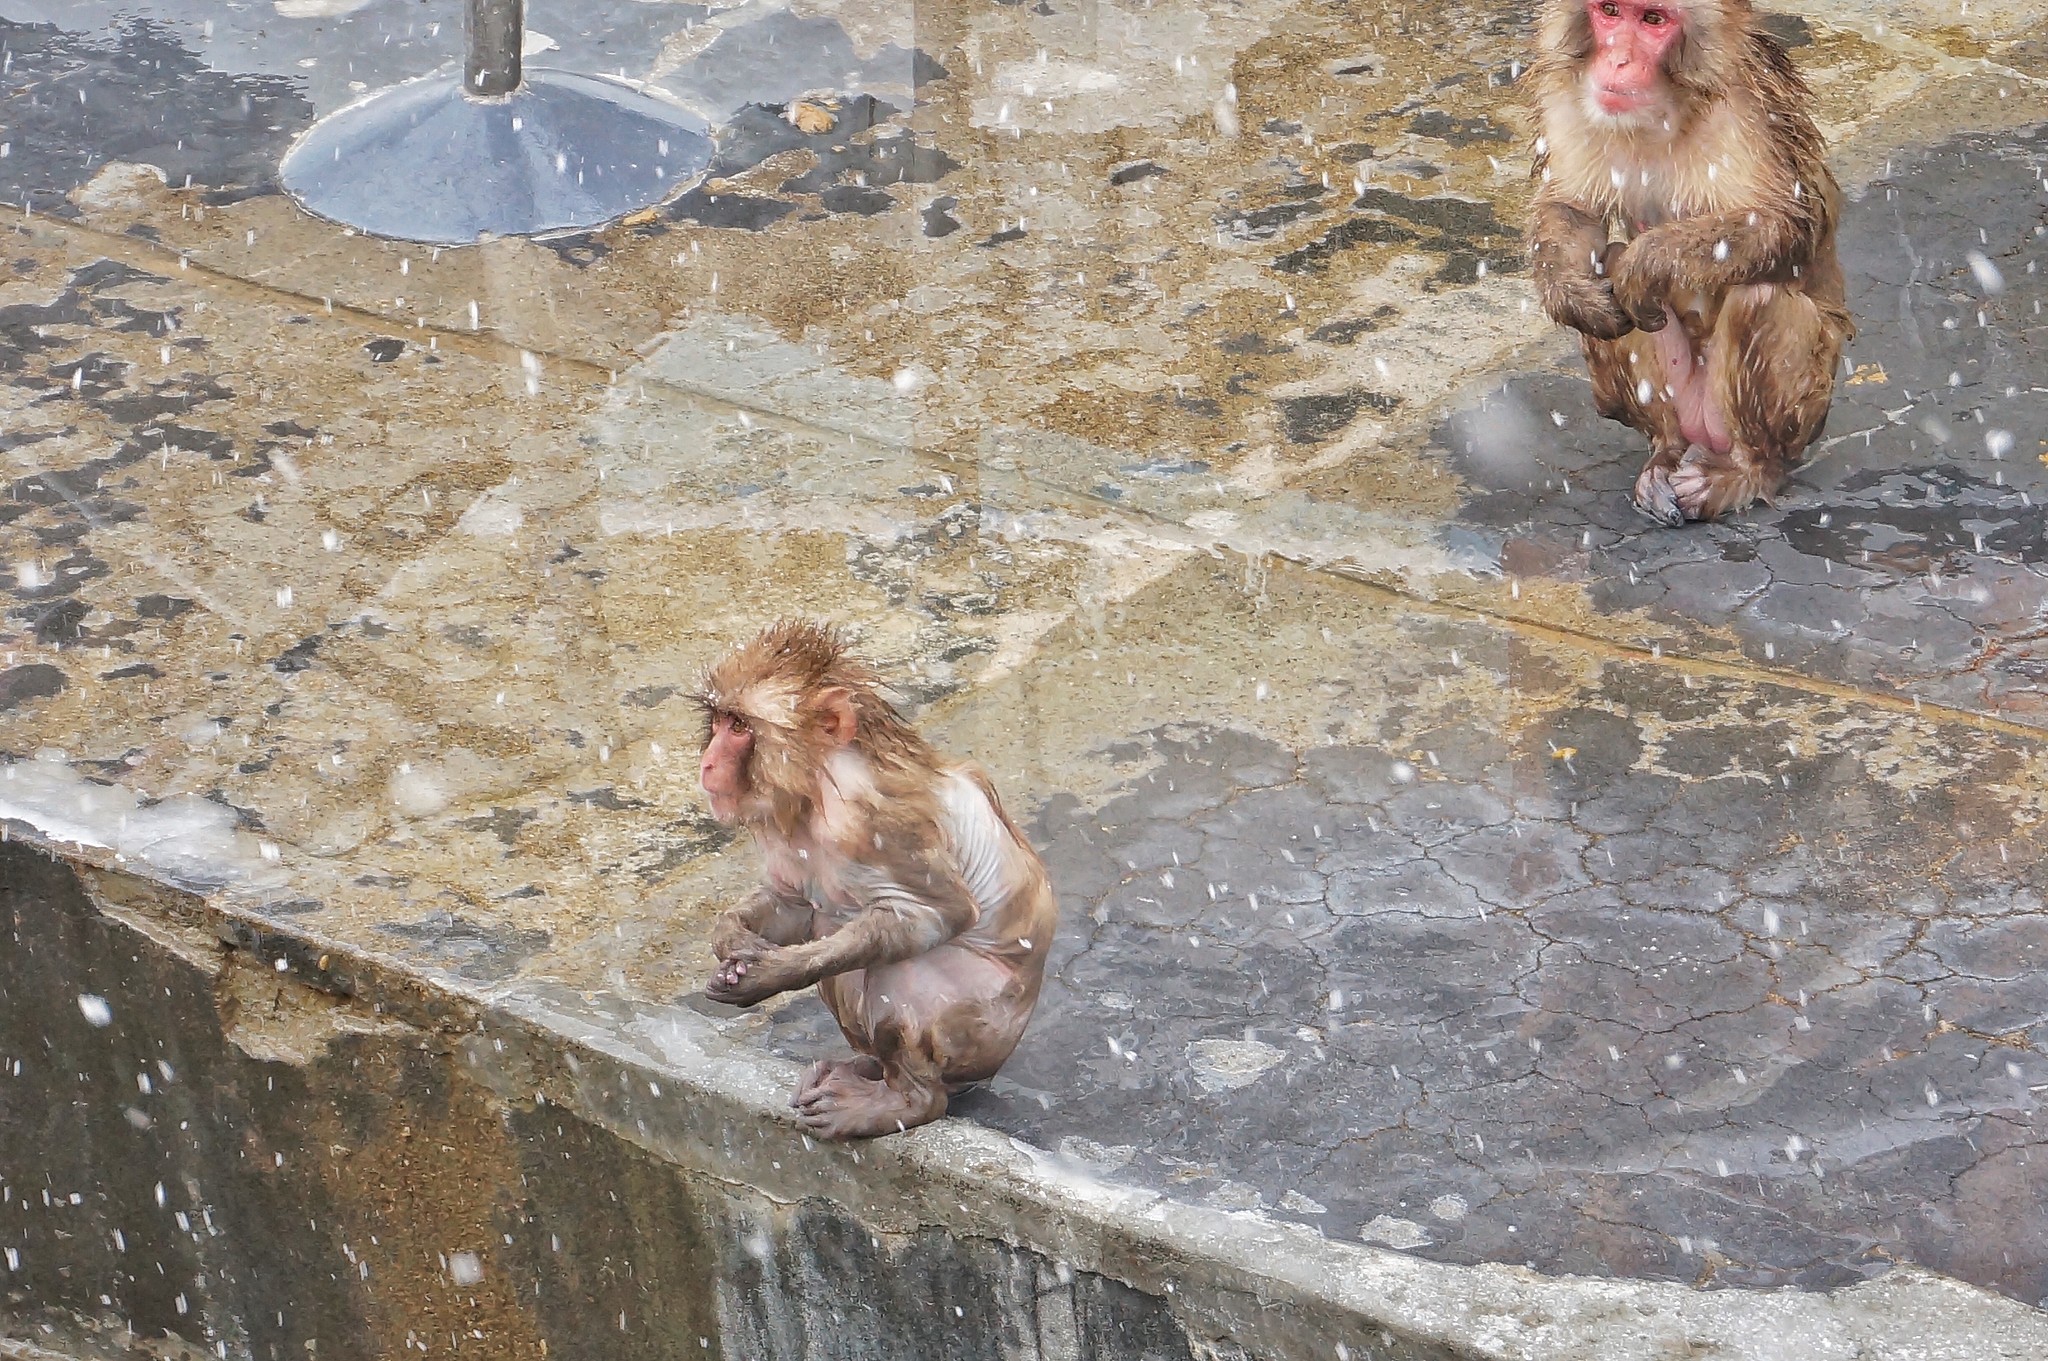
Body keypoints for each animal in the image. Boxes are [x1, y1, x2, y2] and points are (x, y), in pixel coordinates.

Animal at [700, 622, 1064, 1137]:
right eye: (718, 721)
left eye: (739, 727)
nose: (707, 764)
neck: (819, 787)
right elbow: (792, 905)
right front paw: (732, 941)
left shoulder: (881, 826)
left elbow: (938, 914)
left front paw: (771, 973)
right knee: (832, 930)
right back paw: (866, 1069)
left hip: (983, 1033)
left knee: (899, 969)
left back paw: (908, 1101)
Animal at [1523, 0, 1859, 521]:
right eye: (1610, 11)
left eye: (1653, 20)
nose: (1618, 60)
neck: (1666, 108)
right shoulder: (1570, 95)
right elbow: (1571, 208)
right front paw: (1579, 299)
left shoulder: (1744, 114)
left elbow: (1784, 225)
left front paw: (1648, 264)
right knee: (1609, 265)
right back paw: (1664, 455)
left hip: (1807, 411)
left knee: (1758, 296)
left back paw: (1748, 472)